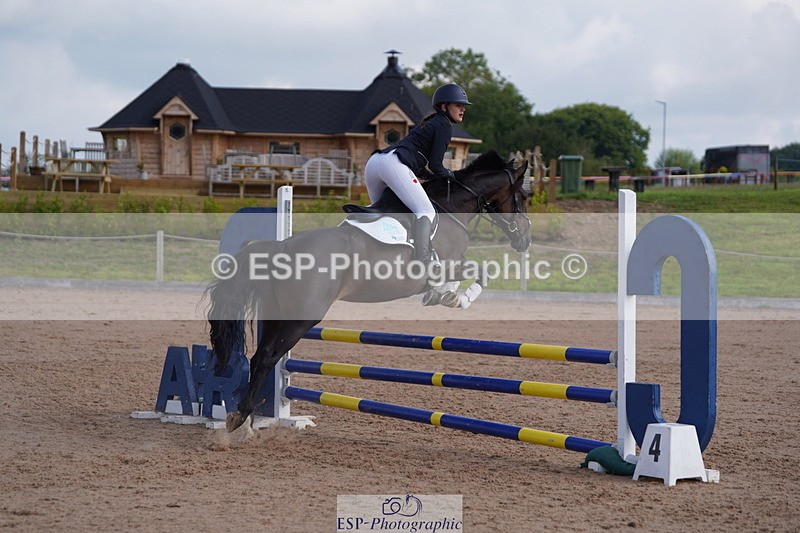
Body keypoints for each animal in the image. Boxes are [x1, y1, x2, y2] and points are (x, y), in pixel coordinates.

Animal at [207, 150, 530, 431]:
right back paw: (241, 417)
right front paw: (454, 297)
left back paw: (242, 415)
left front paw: (441, 295)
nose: (525, 240)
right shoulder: (451, 263)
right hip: (302, 318)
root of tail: (282, 247)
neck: (452, 208)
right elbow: (482, 272)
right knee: (268, 357)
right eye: (524, 197)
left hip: (278, 313)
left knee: (259, 357)